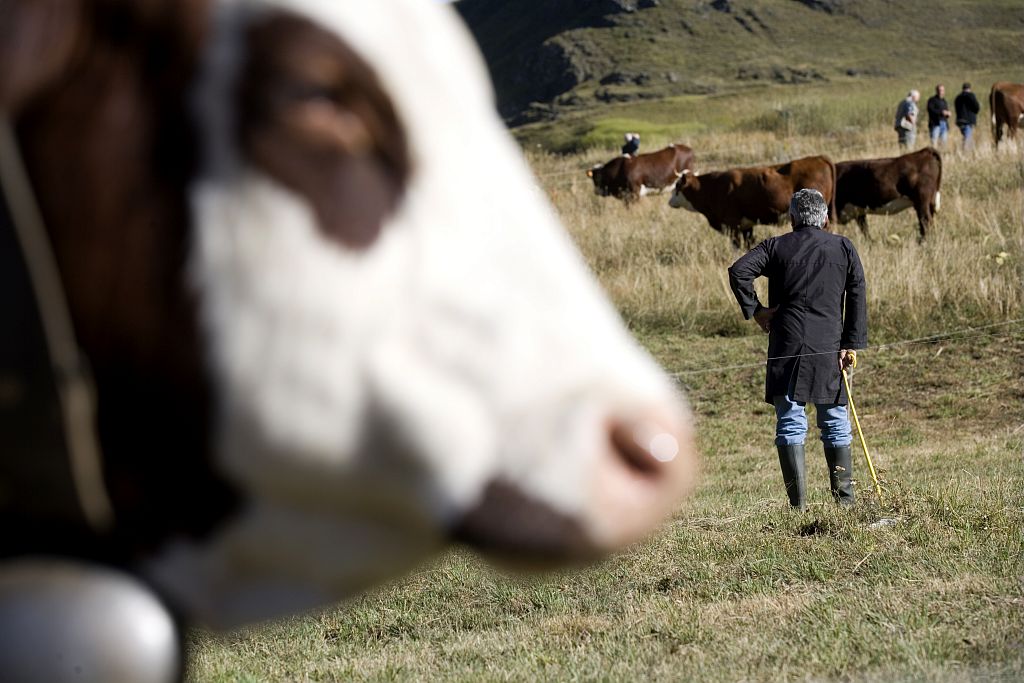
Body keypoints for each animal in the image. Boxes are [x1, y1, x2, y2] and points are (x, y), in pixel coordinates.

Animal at [667, 154, 835, 248]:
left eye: (677, 185)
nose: (669, 201)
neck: (713, 186)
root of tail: (818, 158)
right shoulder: (746, 226)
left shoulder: (732, 224)